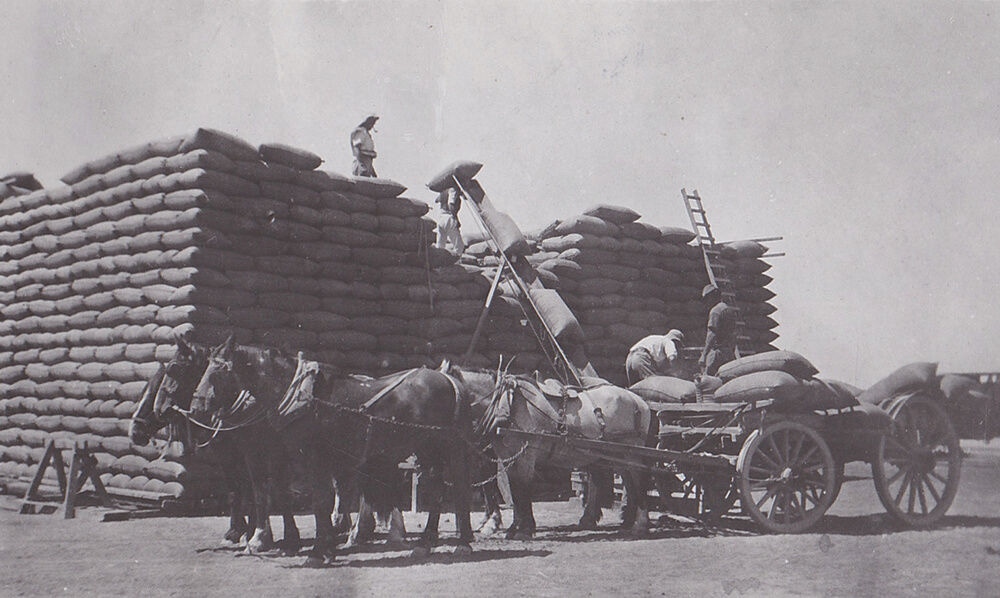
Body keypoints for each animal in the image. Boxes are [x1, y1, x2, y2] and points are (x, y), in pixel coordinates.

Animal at [193, 340, 478, 564]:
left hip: (451, 447)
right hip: (428, 450)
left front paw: (317, 550)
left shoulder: (313, 457)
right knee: (437, 489)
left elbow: (319, 501)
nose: (197, 405)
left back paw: (463, 543)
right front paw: (324, 547)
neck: (302, 396)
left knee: (460, 488)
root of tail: (450, 379)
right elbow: (308, 499)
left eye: (219, 369)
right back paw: (425, 543)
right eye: (205, 366)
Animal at [448, 364, 656, 540]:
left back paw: (640, 524)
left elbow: (523, 489)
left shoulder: (526, 454)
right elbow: (514, 490)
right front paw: (513, 528)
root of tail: (639, 401)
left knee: (638, 480)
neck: (506, 403)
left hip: (631, 451)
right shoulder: (508, 457)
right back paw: (625, 522)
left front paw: (524, 529)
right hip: (616, 454)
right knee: (627, 482)